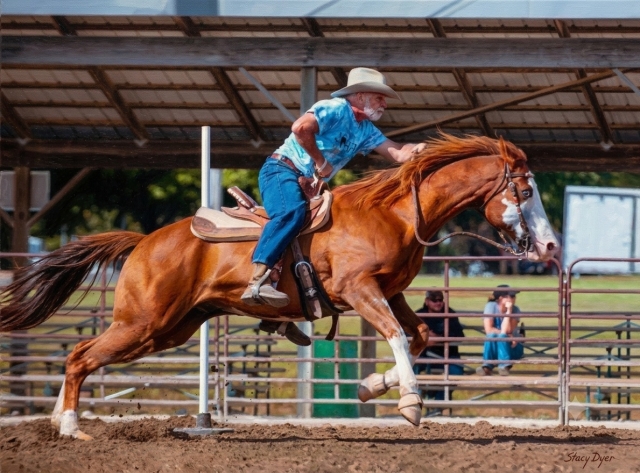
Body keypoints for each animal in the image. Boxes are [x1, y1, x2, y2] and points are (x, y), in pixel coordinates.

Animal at [0, 133, 558, 439]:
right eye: (526, 190)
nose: (551, 247)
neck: (395, 212)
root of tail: (143, 241)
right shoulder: (359, 290)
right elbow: (399, 336)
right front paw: (411, 403)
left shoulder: (392, 291)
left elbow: (419, 336)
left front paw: (370, 386)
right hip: (143, 322)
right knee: (80, 357)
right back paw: (70, 427)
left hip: (167, 329)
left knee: (82, 355)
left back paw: (58, 420)